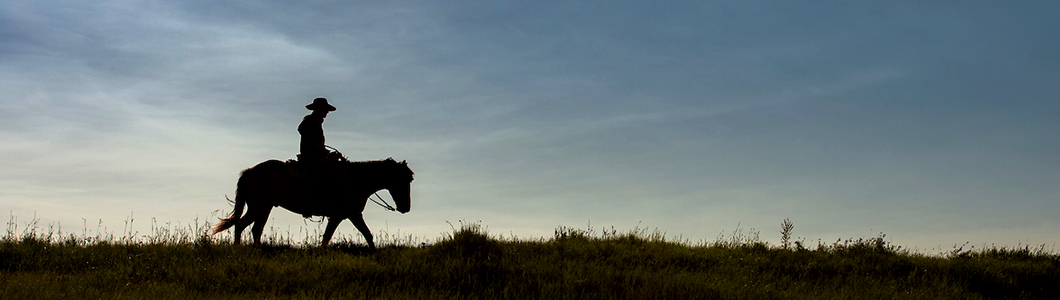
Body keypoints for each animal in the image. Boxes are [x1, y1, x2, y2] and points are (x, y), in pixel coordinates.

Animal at [211, 157, 413, 249]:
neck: (354, 181)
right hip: (259, 206)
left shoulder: (346, 215)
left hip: (263, 207)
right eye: (404, 180)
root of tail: (250, 171)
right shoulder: (346, 214)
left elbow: (364, 234)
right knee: (242, 225)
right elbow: (333, 237)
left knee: (254, 228)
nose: (405, 208)